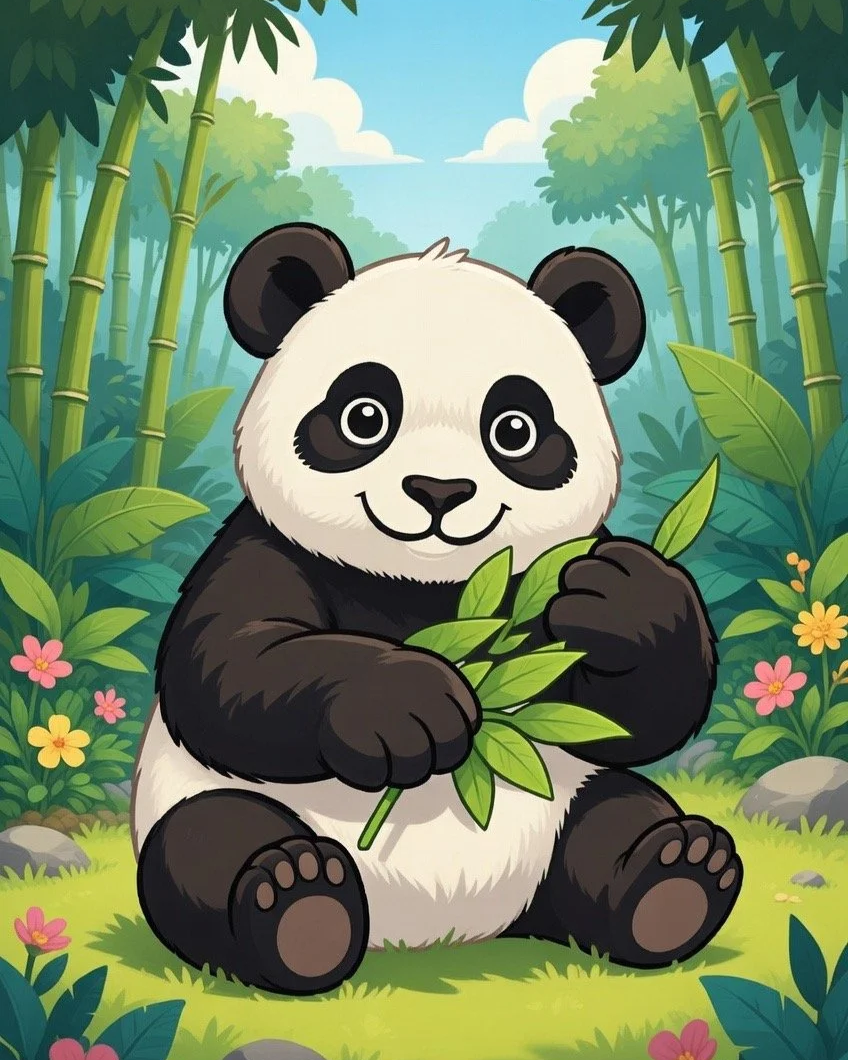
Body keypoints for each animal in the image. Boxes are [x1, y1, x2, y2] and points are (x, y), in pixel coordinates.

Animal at [131, 223, 742, 997]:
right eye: (365, 417)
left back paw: (674, 877)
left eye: (514, 428)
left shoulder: (539, 590)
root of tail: (431, 932)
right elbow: (228, 665)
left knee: (612, 812)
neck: (426, 587)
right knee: (207, 843)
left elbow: (630, 718)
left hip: (557, 812)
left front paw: (627, 602)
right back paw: (296, 903)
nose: (439, 490)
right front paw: (409, 707)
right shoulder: (261, 547)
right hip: (197, 807)